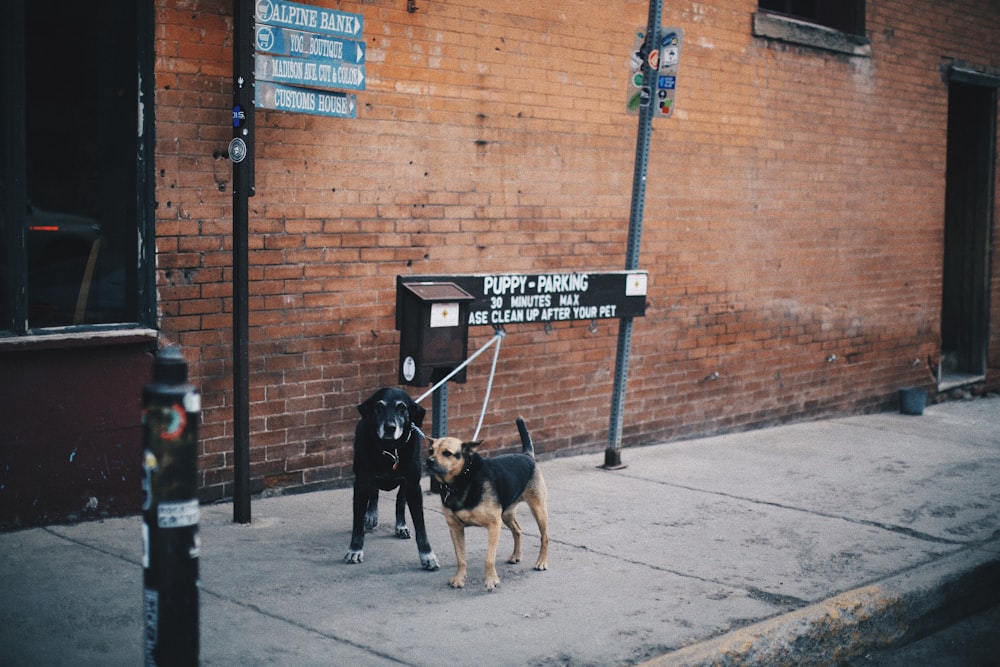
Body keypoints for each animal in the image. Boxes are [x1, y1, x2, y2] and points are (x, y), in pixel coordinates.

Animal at [344, 388, 438, 572]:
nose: (390, 427)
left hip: (405, 485)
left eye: (402, 408)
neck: (390, 450)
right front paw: (355, 550)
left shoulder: (414, 486)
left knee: (400, 501)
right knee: (374, 493)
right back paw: (371, 515)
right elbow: (357, 524)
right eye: (379, 407)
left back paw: (400, 526)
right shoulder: (361, 484)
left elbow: (420, 526)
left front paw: (427, 555)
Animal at [422, 420, 548, 592]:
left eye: (447, 453)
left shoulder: (494, 525)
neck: (462, 480)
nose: (429, 461)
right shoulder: (455, 528)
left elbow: (489, 559)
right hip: (506, 514)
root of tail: (527, 455)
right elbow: (461, 558)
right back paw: (516, 556)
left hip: (538, 509)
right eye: (430, 451)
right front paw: (459, 579)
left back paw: (541, 562)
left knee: (544, 537)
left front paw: (491, 581)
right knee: (517, 530)